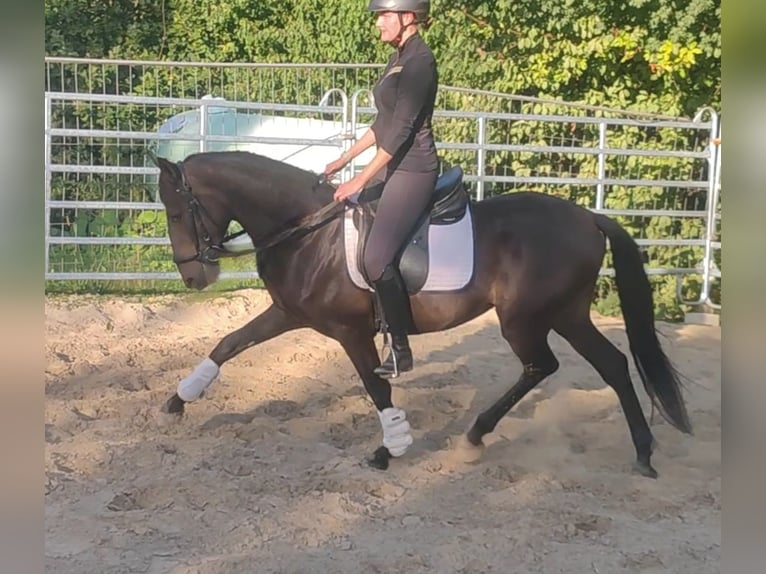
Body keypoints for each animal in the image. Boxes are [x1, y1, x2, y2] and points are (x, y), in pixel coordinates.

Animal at [150, 150, 692, 478]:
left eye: (177, 212)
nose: (194, 278)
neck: (309, 232)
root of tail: (590, 217)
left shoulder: (349, 331)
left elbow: (377, 387)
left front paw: (389, 449)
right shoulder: (288, 313)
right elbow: (228, 343)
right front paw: (178, 401)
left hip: (525, 319)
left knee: (544, 365)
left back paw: (475, 434)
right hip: (568, 314)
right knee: (613, 365)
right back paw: (642, 453)